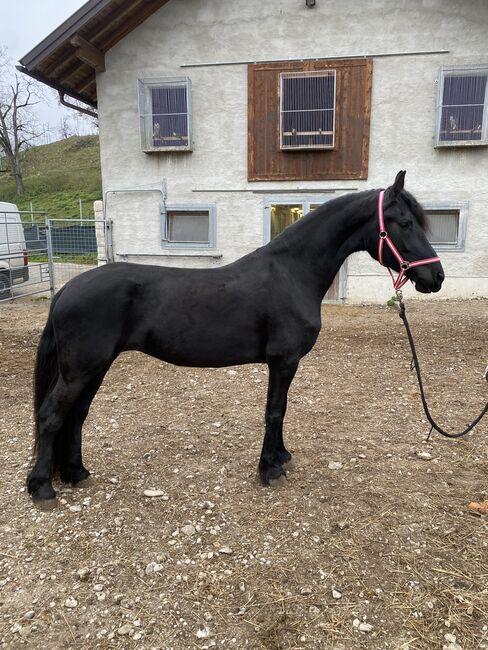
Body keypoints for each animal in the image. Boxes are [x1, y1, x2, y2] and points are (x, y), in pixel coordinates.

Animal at [28, 171, 444, 502]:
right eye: (404, 223)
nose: (435, 276)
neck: (292, 272)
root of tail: (67, 290)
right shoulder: (283, 361)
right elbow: (274, 411)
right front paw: (269, 469)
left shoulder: (284, 364)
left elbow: (281, 409)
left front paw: (280, 456)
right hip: (81, 368)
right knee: (51, 415)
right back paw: (42, 488)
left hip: (94, 367)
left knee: (76, 414)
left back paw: (76, 474)